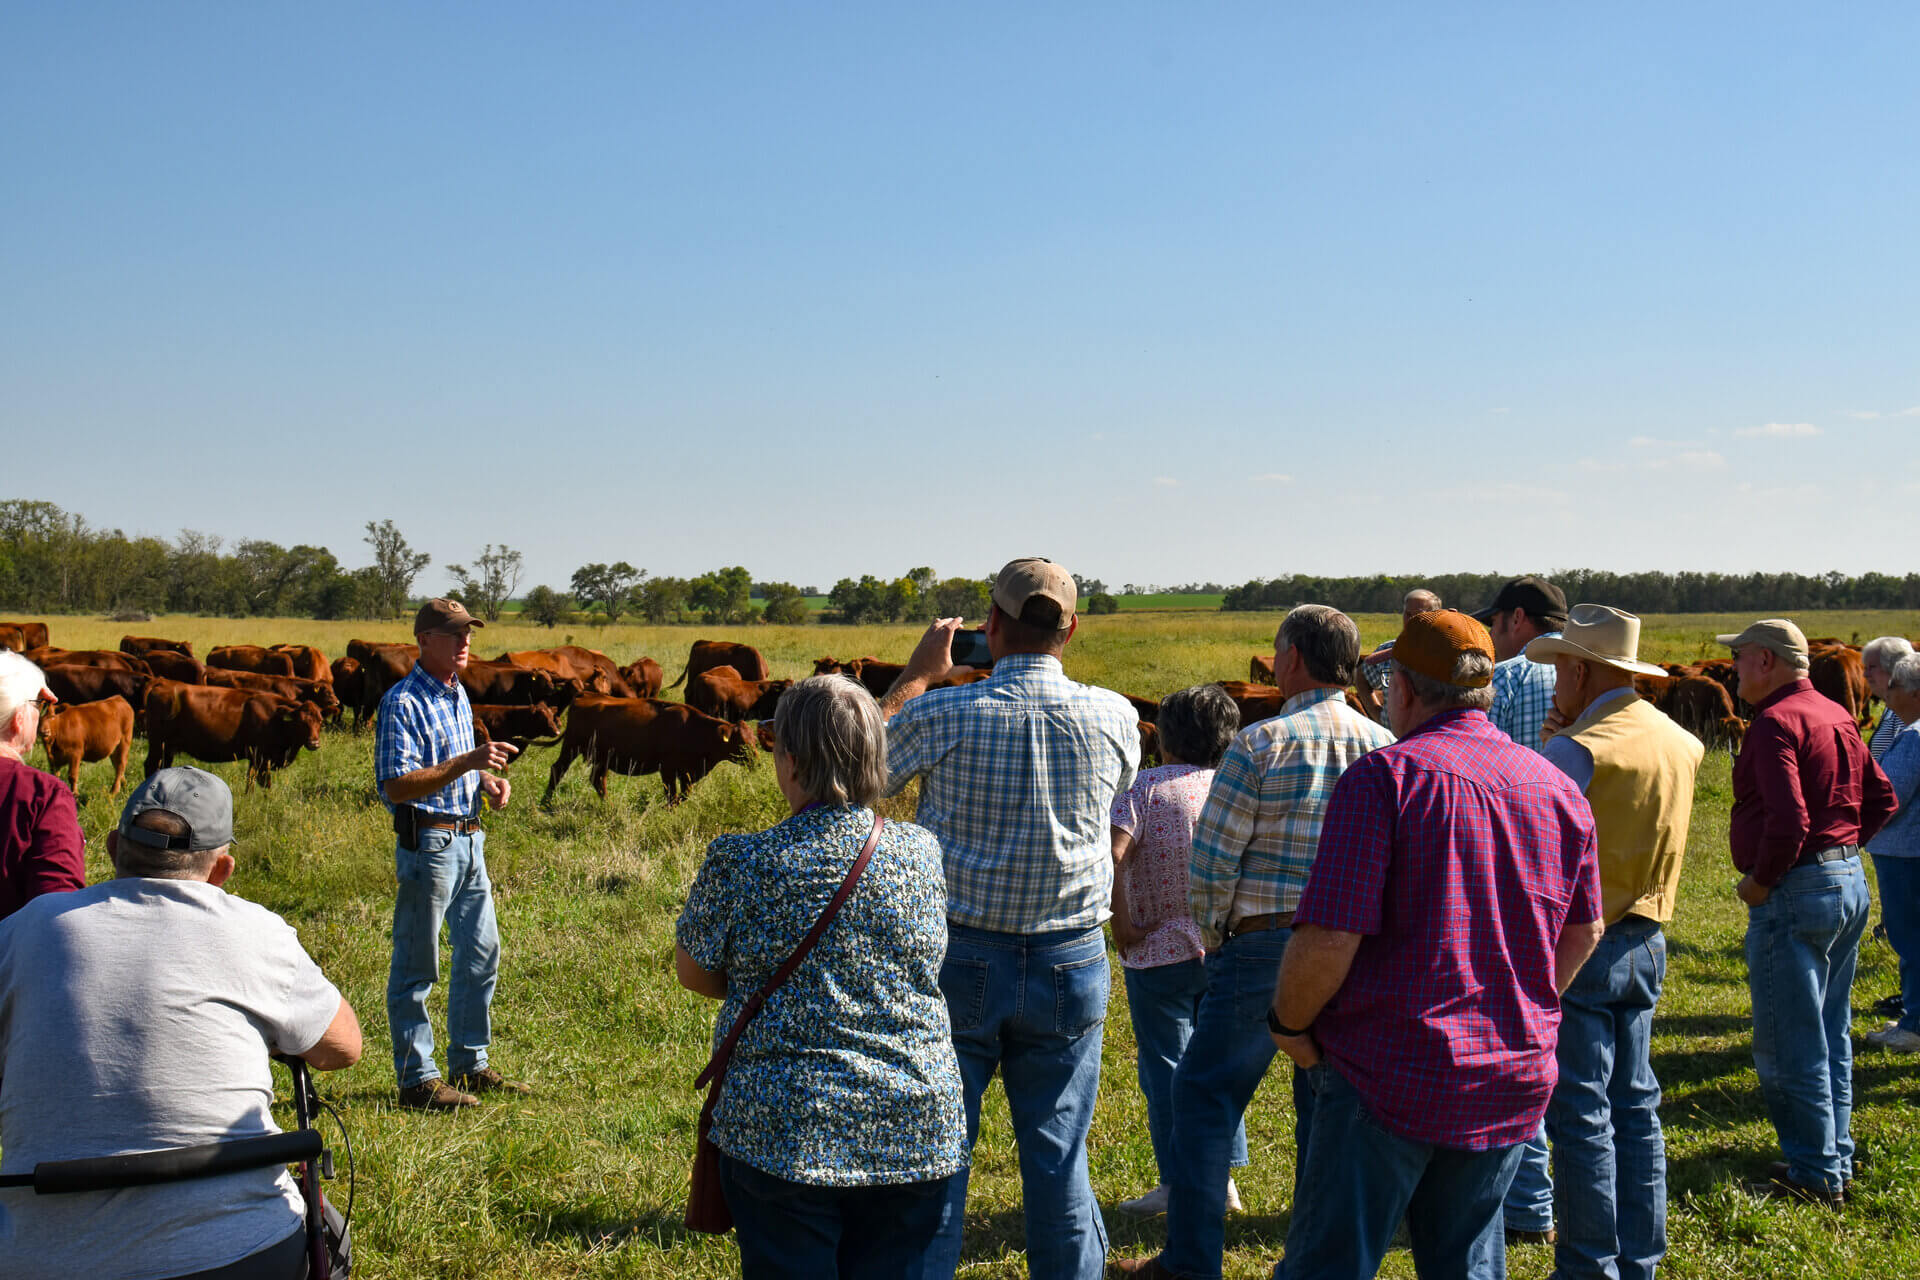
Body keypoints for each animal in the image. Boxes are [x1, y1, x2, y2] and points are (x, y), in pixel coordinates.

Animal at [143, 681, 323, 790]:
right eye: (301, 722)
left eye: (320, 721)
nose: (314, 743)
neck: (274, 716)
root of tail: (164, 683)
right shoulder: (262, 758)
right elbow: (264, 783)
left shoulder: (255, 759)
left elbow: (250, 781)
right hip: (158, 745)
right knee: (151, 766)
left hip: (167, 749)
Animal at [541, 695, 756, 806]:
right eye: (742, 743)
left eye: (754, 740)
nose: (757, 761)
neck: (692, 727)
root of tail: (583, 696)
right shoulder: (667, 769)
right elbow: (672, 793)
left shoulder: (684, 771)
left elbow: (685, 792)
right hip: (571, 747)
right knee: (558, 769)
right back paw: (546, 804)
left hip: (601, 759)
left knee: (598, 780)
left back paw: (608, 804)